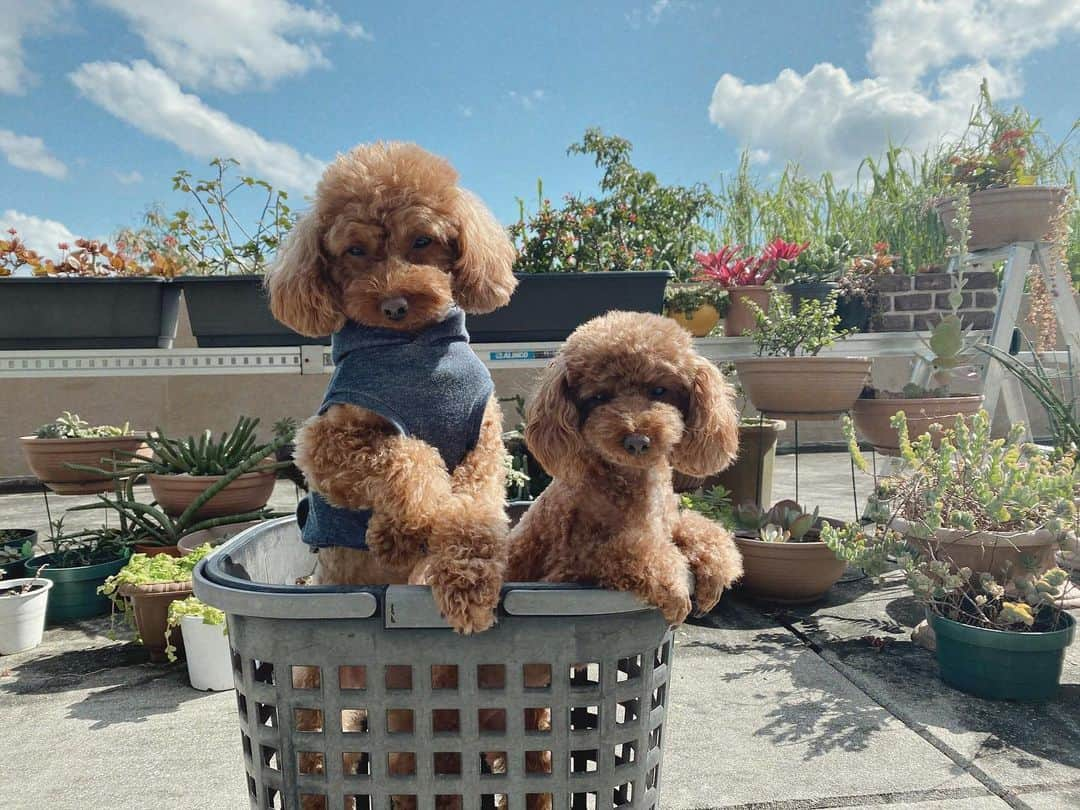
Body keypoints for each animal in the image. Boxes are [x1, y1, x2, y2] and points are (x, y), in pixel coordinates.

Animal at [505, 308, 743, 622]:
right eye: (599, 397)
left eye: (659, 390)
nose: (637, 441)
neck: (633, 481)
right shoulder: (569, 564)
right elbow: (631, 552)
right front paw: (676, 589)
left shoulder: (670, 523)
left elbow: (700, 529)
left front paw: (715, 575)